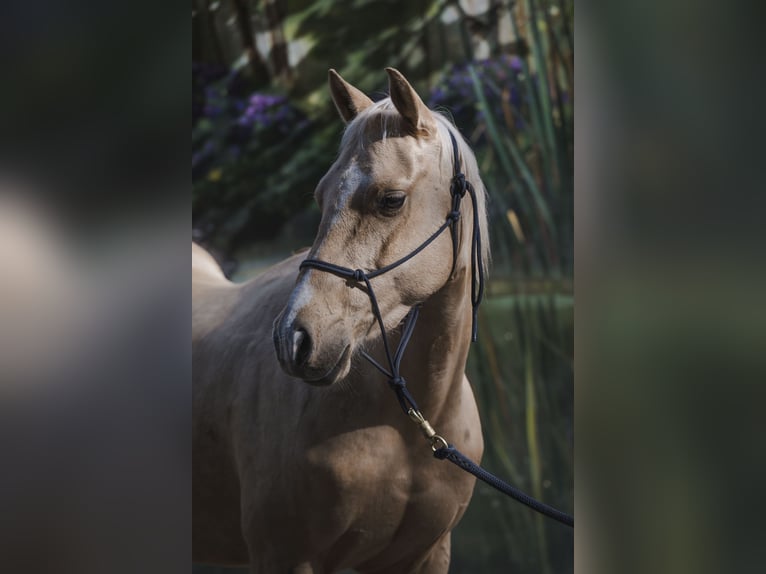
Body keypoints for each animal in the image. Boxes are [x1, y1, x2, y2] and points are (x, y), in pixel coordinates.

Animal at [193, 67, 490, 574]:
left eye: (391, 199)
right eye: (320, 195)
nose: (293, 340)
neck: (403, 427)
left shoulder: (425, 555)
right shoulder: (285, 556)